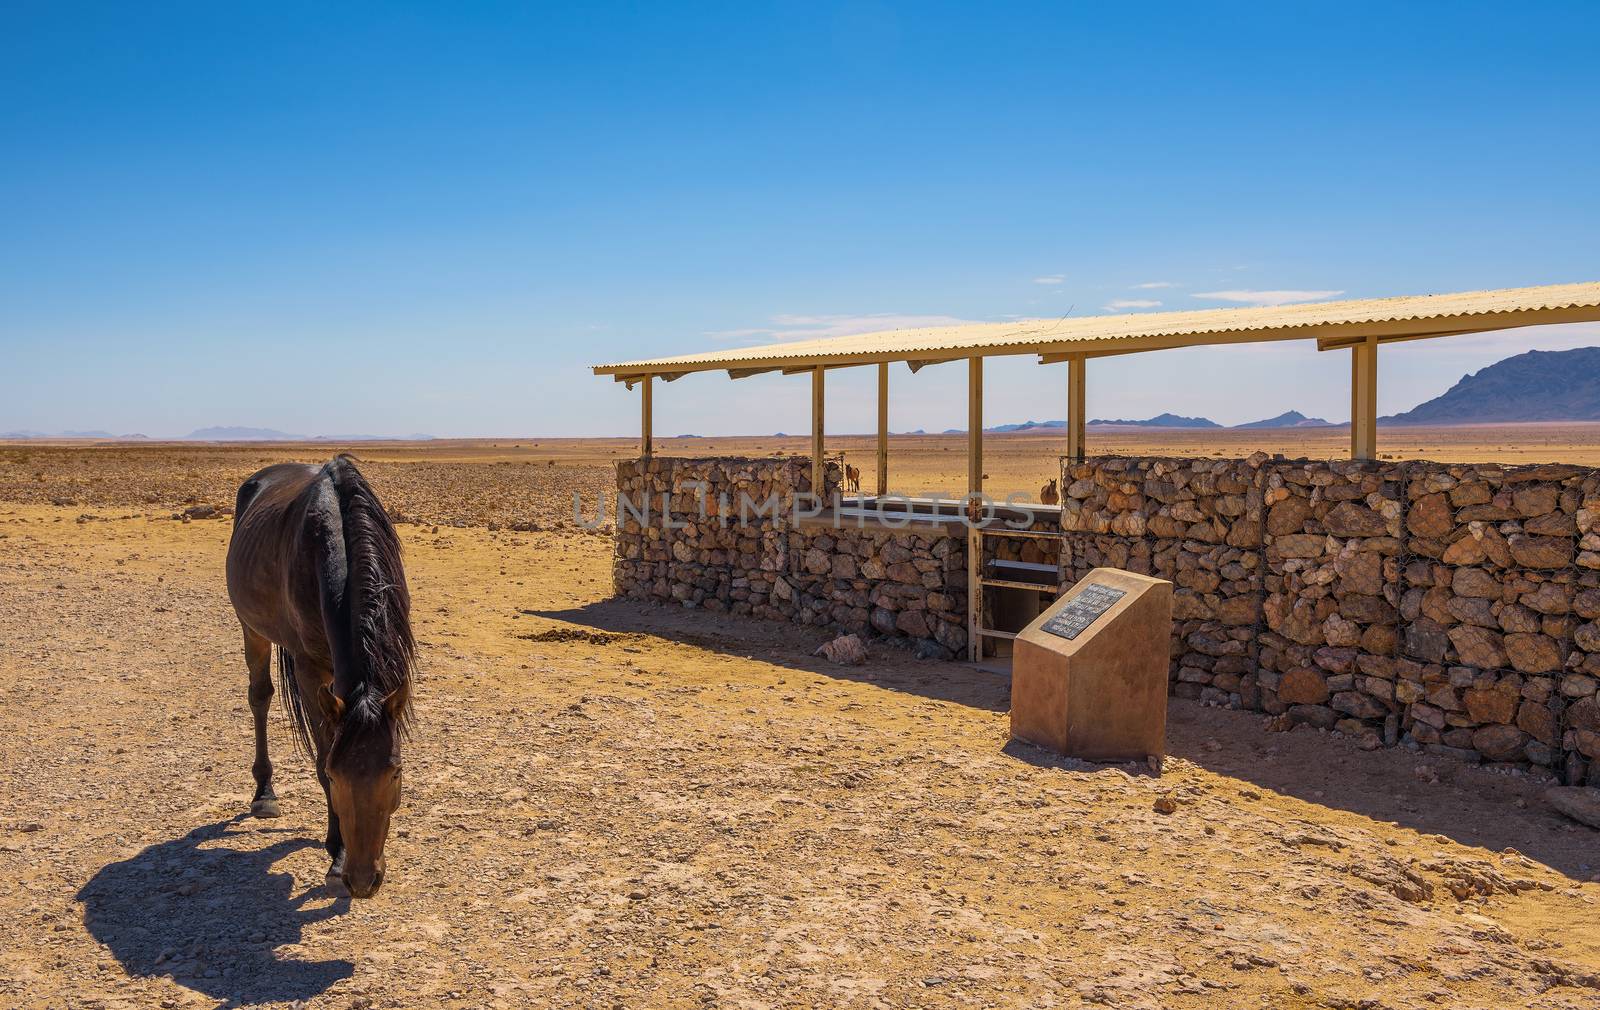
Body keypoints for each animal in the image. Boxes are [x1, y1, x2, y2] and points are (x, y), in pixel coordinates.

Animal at [225, 457, 416, 902]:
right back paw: (264, 794)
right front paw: (337, 854)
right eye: (335, 774)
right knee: (259, 696)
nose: (363, 881)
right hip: (251, 629)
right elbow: (321, 750)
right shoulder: (310, 669)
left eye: (395, 772)